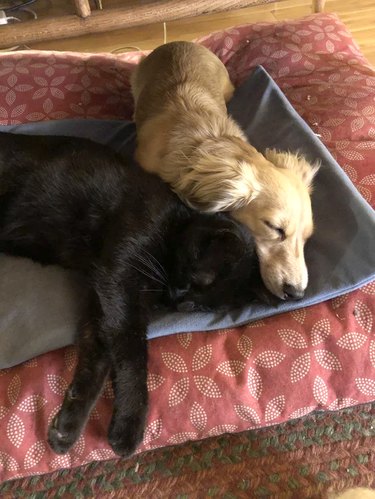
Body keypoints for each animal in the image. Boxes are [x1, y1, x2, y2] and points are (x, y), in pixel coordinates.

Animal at [0, 132, 268, 458]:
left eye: (200, 306)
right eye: (195, 279)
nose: (178, 301)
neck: (172, 223)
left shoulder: (101, 302)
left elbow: (97, 358)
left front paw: (68, 425)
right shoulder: (118, 282)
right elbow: (132, 352)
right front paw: (129, 424)